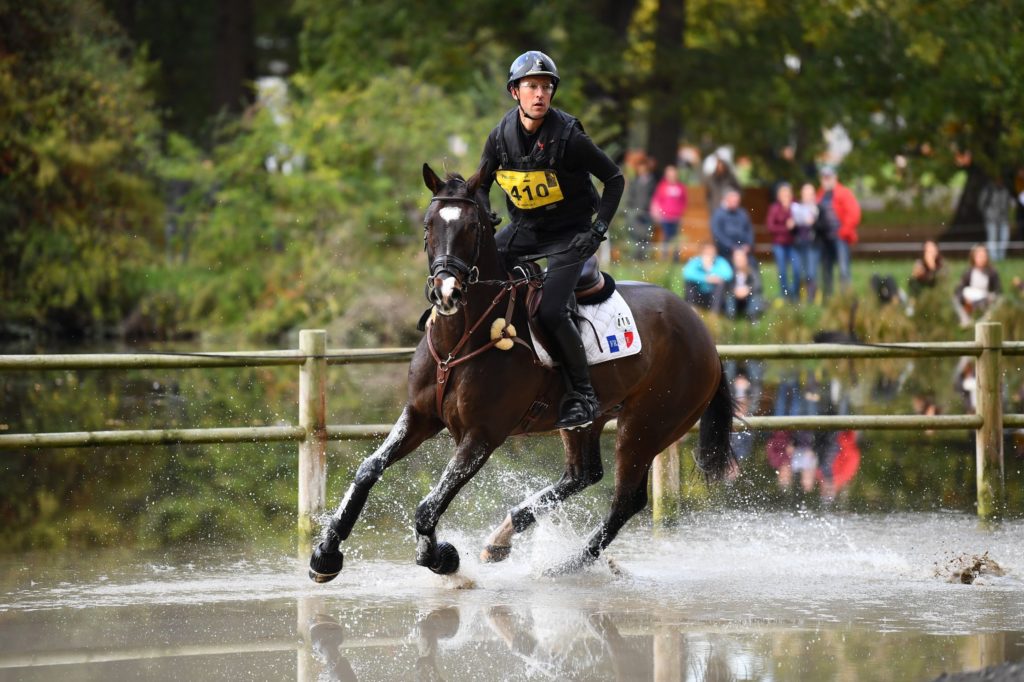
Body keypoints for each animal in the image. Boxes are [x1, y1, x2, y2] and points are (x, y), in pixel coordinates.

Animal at [305, 163, 737, 577]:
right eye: (429, 225)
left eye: (472, 227)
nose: (446, 292)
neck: (461, 338)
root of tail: (703, 334)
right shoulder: (421, 416)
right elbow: (368, 469)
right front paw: (326, 554)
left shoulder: (482, 435)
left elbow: (429, 505)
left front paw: (441, 557)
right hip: (588, 418)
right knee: (582, 475)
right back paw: (503, 537)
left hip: (647, 426)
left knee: (625, 501)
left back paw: (567, 565)